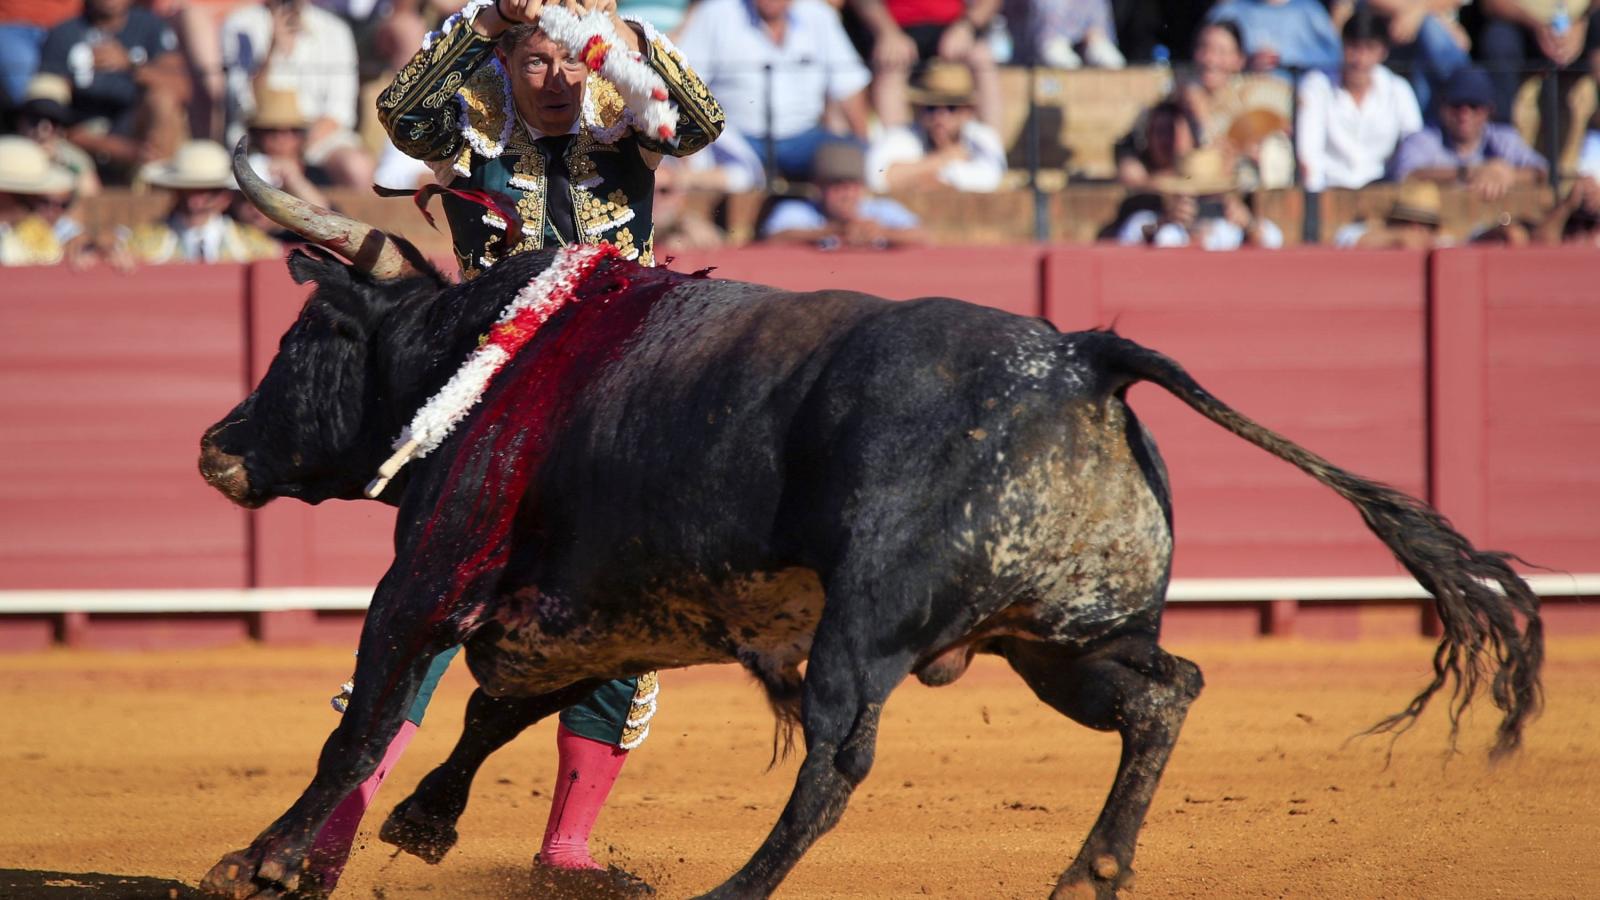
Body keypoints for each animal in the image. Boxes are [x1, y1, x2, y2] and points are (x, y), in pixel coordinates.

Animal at [193, 245, 1542, 896]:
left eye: (297, 346)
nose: (217, 442)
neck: (489, 362)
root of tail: (1080, 355)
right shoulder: (591, 616)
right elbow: (492, 710)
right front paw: (422, 824)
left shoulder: (428, 575)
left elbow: (368, 719)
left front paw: (258, 863)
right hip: (1062, 642)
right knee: (1164, 693)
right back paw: (1090, 872)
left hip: (870, 632)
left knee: (838, 761)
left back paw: (734, 894)